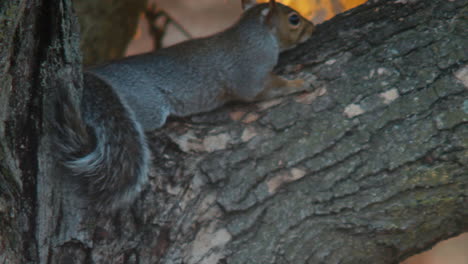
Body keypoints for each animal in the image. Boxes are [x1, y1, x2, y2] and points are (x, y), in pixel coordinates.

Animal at [56, 0, 316, 211]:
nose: (313, 27)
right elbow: (263, 90)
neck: (257, 35)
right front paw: (300, 84)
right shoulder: (250, 73)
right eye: (294, 18)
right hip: (148, 108)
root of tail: (96, 75)